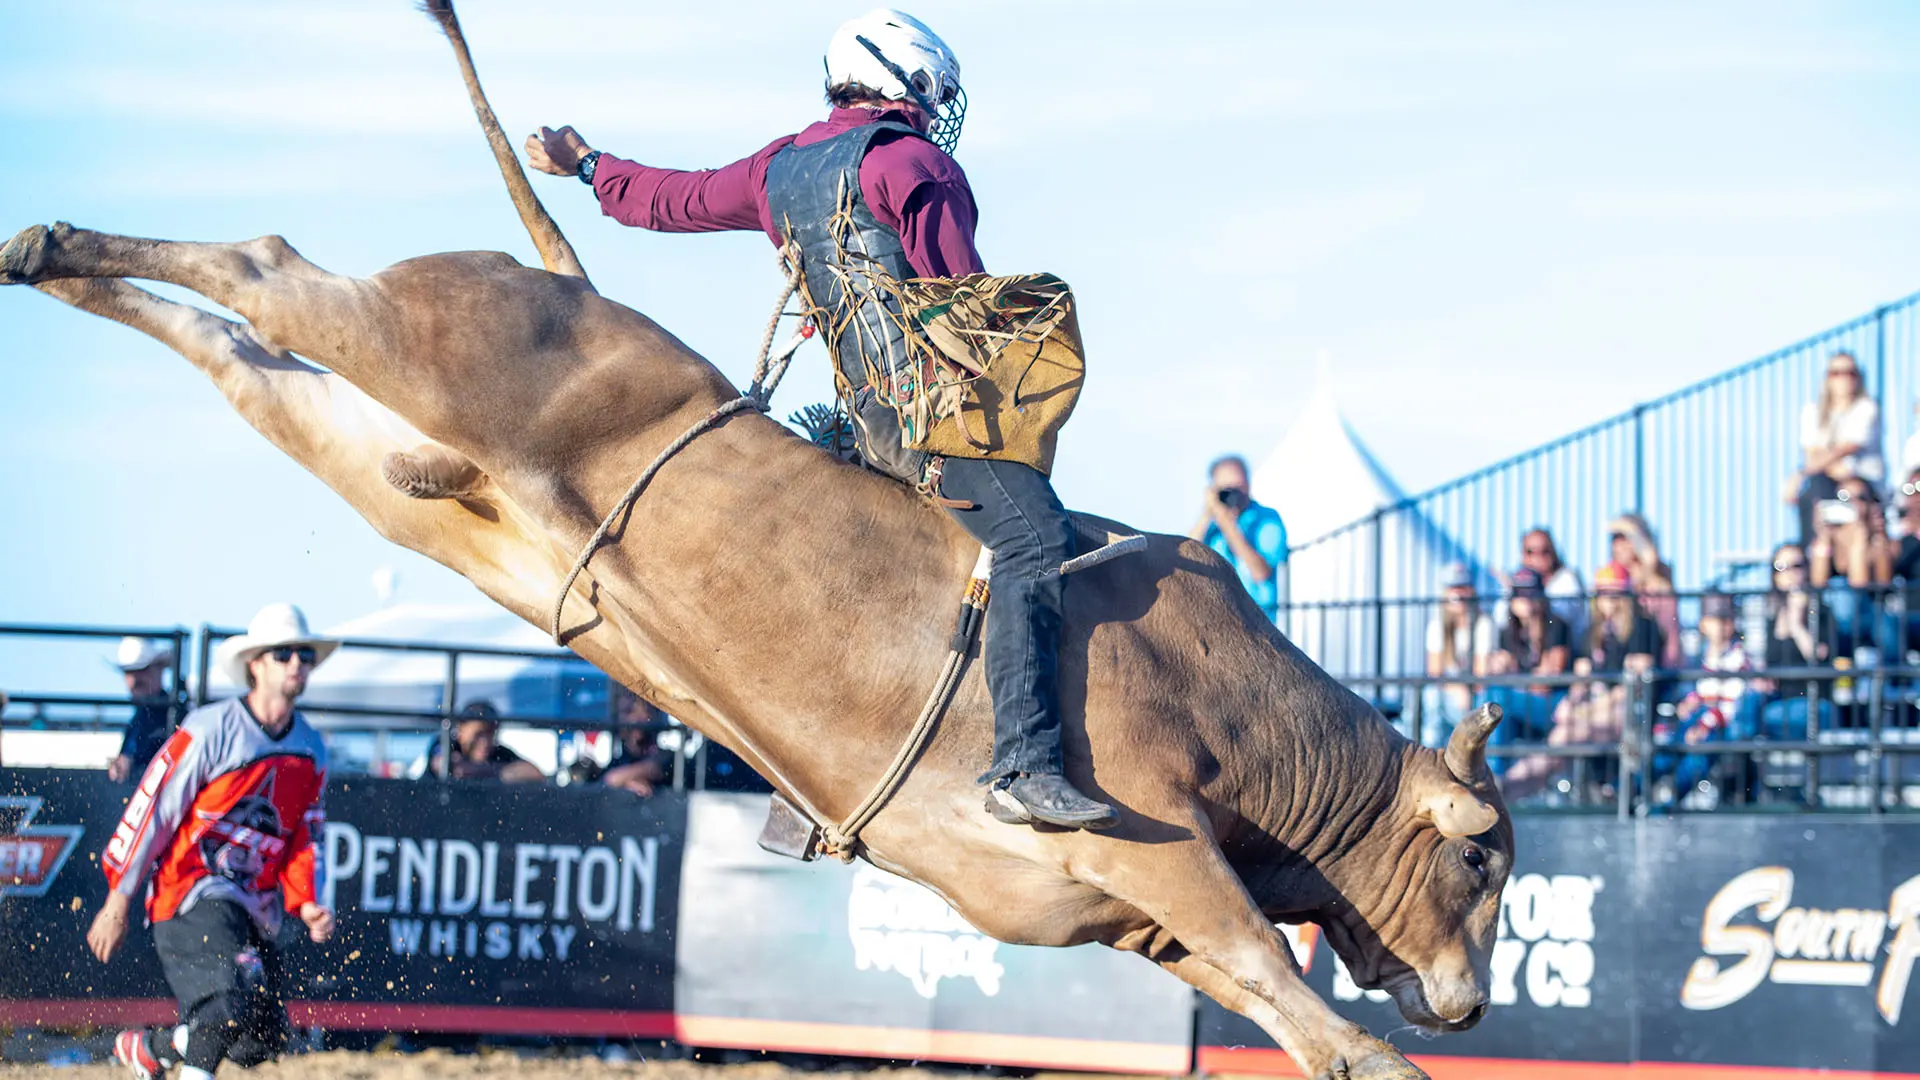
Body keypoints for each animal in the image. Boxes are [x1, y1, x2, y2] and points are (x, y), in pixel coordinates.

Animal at [0, 10, 1512, 1076]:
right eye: (1485, 857)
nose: (1470, 1004)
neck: (1246, 721)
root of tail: (558, 284)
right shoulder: (1159, 843)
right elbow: (1266, 953)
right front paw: (1387, 1057)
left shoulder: (1126, 911)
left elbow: (1259, 985)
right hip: (423, 340)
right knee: (266, 267)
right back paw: (54, 241)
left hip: (393, 472)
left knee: (239, 351)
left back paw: (57, 258)